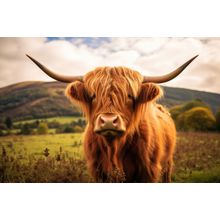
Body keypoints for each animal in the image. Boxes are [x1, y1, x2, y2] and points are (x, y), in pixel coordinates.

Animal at [26, 53, 198, 182]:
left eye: (130, 96)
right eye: (93, 96)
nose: (108, 121)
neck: (113, 150)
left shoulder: (149, 170)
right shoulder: (97, 172)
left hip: (167, 162)